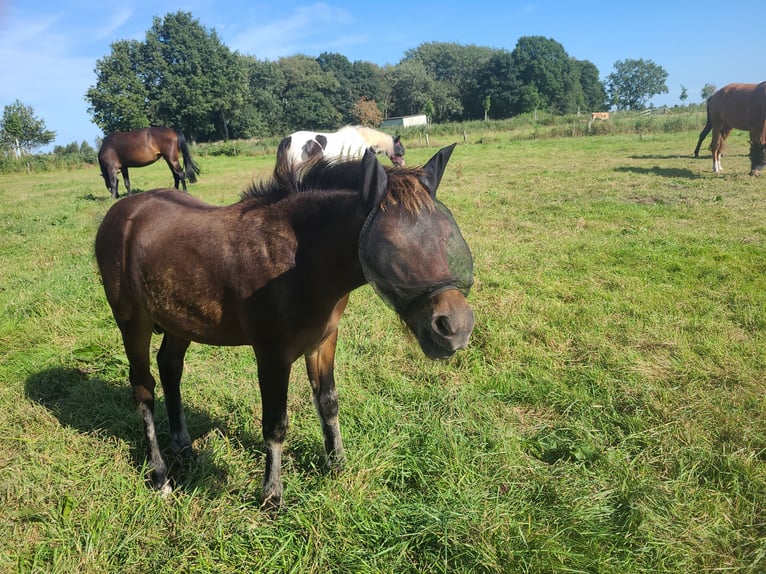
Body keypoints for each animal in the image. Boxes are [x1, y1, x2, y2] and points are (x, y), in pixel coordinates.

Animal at [95, 146, 476, 510]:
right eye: (391, 247)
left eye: (447, 236)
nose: (454, 327)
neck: (299, 260)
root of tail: (121, 212)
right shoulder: (272, 355)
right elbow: (276, 425)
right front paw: (272, 495)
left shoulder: (323, 342)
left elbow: (328, 403)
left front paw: (337, 464)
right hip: (133, 322)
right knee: (143, 388)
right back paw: (159, 474)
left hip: (179, 322)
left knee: (170, 367)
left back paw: (184, 447)